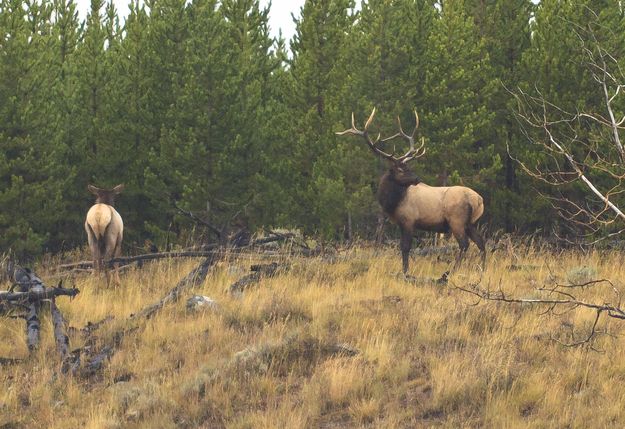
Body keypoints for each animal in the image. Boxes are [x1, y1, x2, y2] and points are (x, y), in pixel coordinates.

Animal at [336, 108, 488, 276]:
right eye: (401, 169)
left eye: (407, 167)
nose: (417, 178)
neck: (392, 203)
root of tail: (478, 200)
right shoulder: (402, 223)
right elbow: (403, 247)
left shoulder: (408, 220)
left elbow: (405, 247)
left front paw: (405, 272)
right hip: (471, 222)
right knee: (481, 242)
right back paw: (482, 270)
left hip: (457, 221)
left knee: (464, 244)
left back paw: (452, 271)